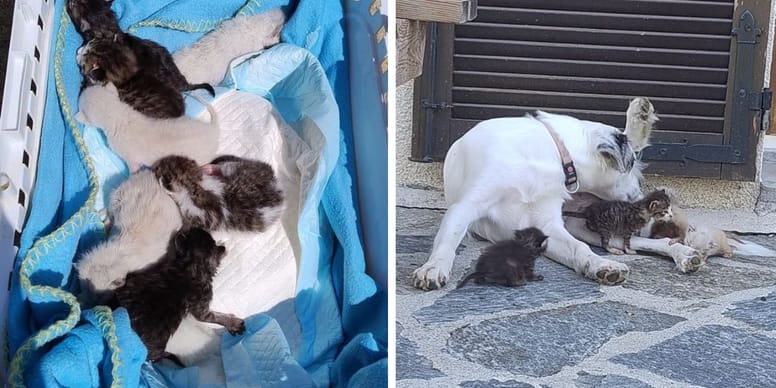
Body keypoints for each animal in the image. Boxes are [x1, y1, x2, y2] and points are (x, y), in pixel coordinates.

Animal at [110, 227, 244, 364]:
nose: (192, 227)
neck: (191, 266)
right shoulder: (202, 303)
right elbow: (212, 317)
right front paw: (233, 323)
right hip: (157, 346)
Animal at [152, 155, 284, 232]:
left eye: (161, 171)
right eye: (168, 160)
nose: (155, 165)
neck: (196, 185)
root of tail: (277, 186)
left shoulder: (201, 217)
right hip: (234, 167)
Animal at [412, 98, 708, 290]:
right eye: (632, 165)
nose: (639, 196)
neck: (549, 154)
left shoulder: (547, 226)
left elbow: (579, 249)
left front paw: (599, 265)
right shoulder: (465, 207)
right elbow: (447, 241)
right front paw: (434, 267)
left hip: (586, 226)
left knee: (645, 243)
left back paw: (683, 255)